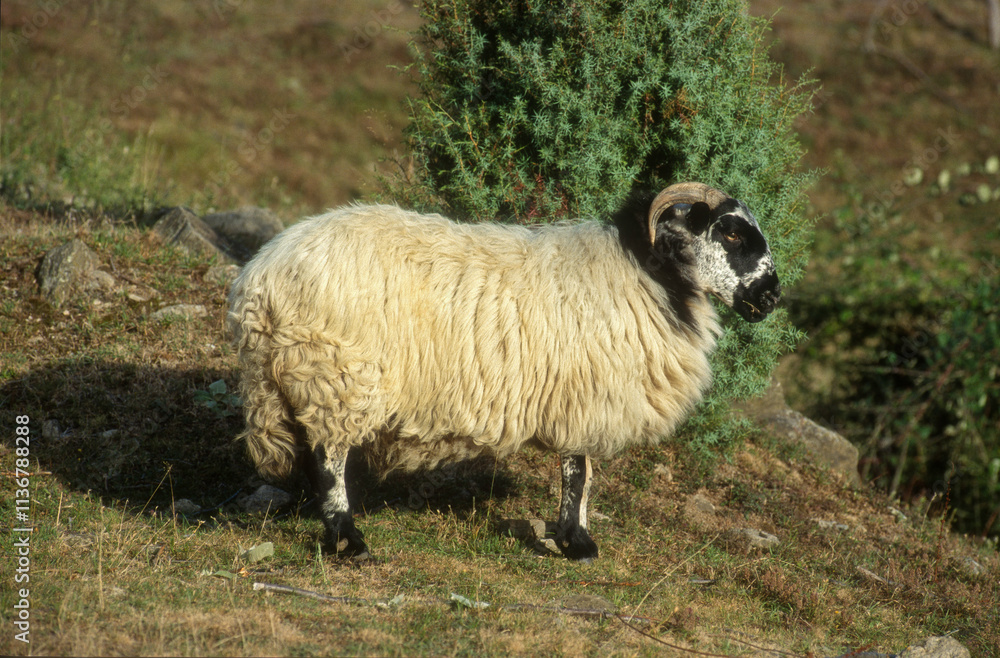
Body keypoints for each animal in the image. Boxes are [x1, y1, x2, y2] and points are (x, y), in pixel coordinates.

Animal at [227, 182, 781, 561]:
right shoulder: (584, 396)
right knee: (330, 457)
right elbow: (579, 472)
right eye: (732, 232)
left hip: (303, 379)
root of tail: (259, 282)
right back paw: (348, 539)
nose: (773, 296)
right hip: (338, 375)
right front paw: (577, 543)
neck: (649, 276)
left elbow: (580, 473)